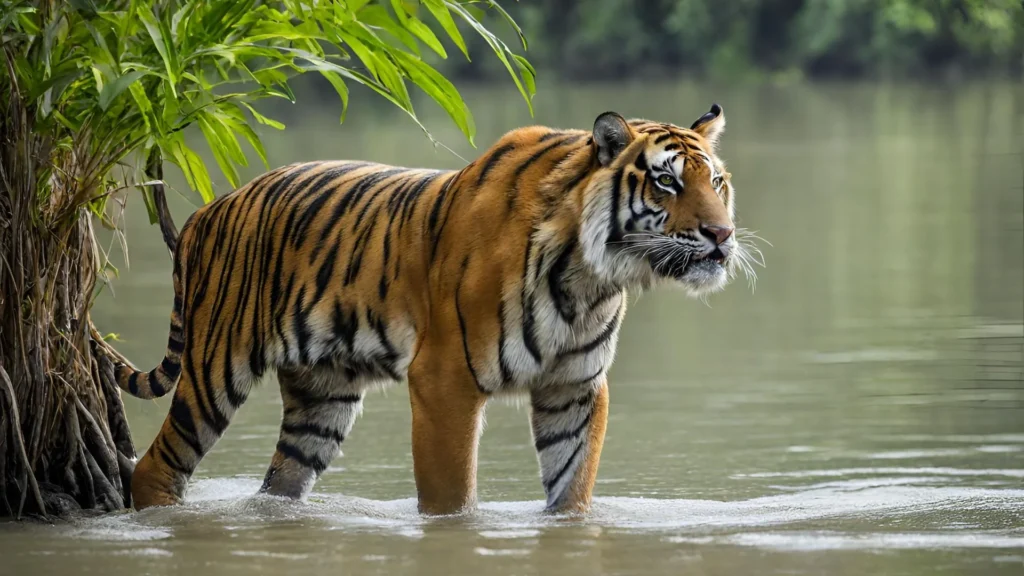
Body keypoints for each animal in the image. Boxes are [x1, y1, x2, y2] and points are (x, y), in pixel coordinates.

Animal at [112, 103, 757, 510]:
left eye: (716, 182)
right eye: (667, 183)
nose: (722, 235)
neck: (590, 277)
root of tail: (206, 212)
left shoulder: (574, 388)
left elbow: (571, 492)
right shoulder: (445, 380)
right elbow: (452, 502)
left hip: (322, 398)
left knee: (278, 485)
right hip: (215, 366)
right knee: (155, 466)